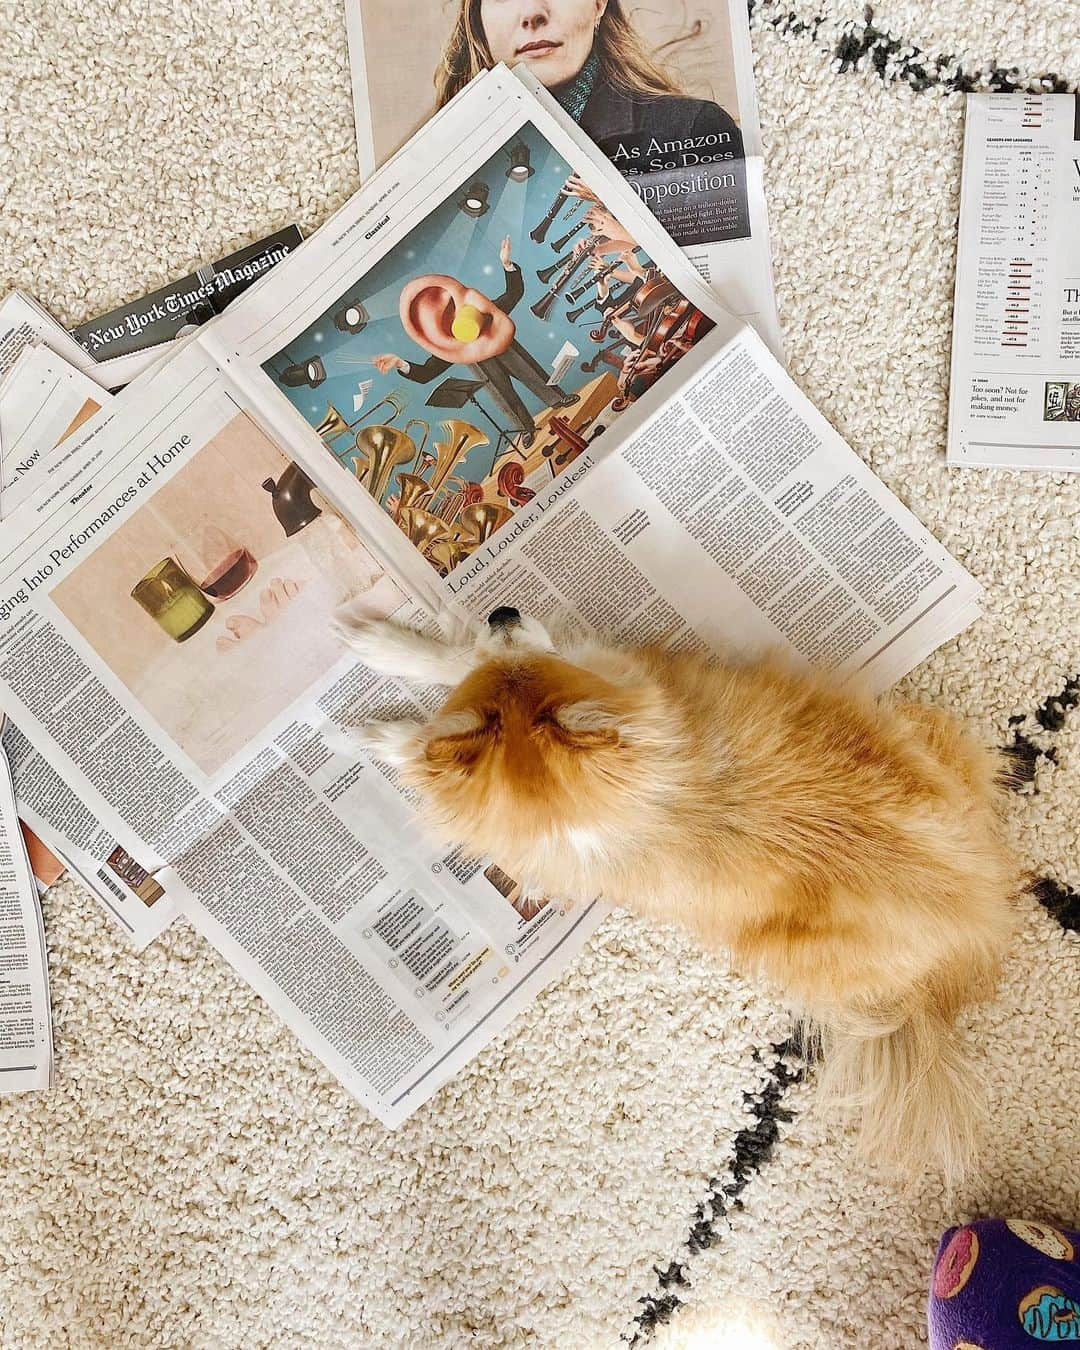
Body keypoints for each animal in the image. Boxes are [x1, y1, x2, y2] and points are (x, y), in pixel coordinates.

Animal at [341, 607, 1015, 1177]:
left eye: (539, 666)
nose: (501, 612)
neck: (632, 797)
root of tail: (974, 925)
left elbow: (447, 675)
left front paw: (381, 726)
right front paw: (388, 669)